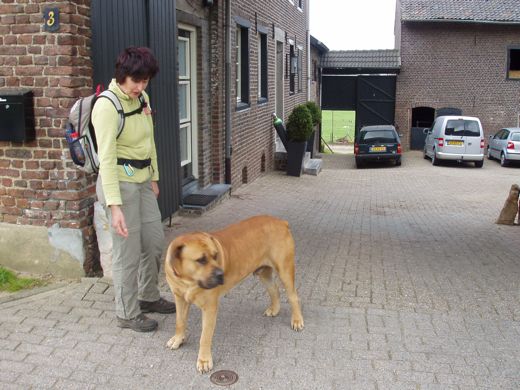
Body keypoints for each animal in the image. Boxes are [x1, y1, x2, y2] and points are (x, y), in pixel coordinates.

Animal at [165, 215, 304, 374]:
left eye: (216, 256)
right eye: (201, 260)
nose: (221, 274)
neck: (187, 280)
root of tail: (281, 222)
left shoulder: (210, 307)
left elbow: (205, 336)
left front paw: (204, 360)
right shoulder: (179, 299)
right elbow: (180, 322)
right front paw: (178, 339)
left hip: (285, 269)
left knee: (293, 296)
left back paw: (297, 320)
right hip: (263, 272)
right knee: (274, 289)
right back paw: (274, 309)